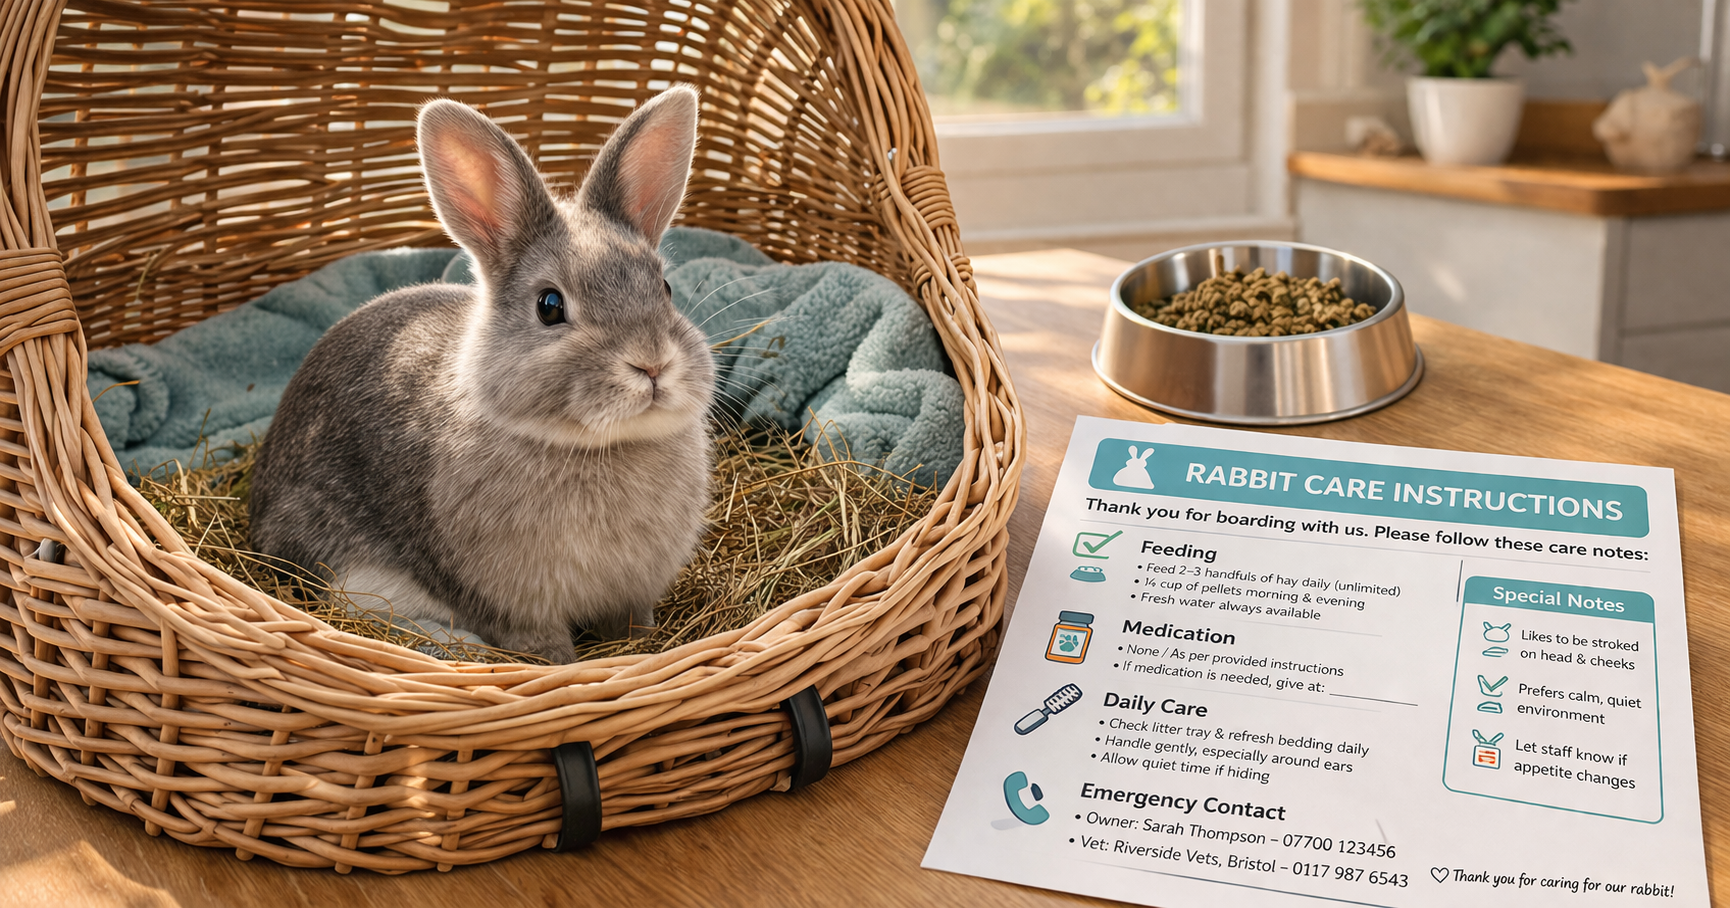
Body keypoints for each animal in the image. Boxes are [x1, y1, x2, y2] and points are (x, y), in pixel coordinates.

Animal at [248, 86, 715, 663]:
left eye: (665, 287)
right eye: (549, 306)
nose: (652, 363)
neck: (597, 445)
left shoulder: (631, 595)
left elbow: (633, 626)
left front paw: (643, 648)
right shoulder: (521, 610)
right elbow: (543, 646)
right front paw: (560, 665)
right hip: (353, 577)